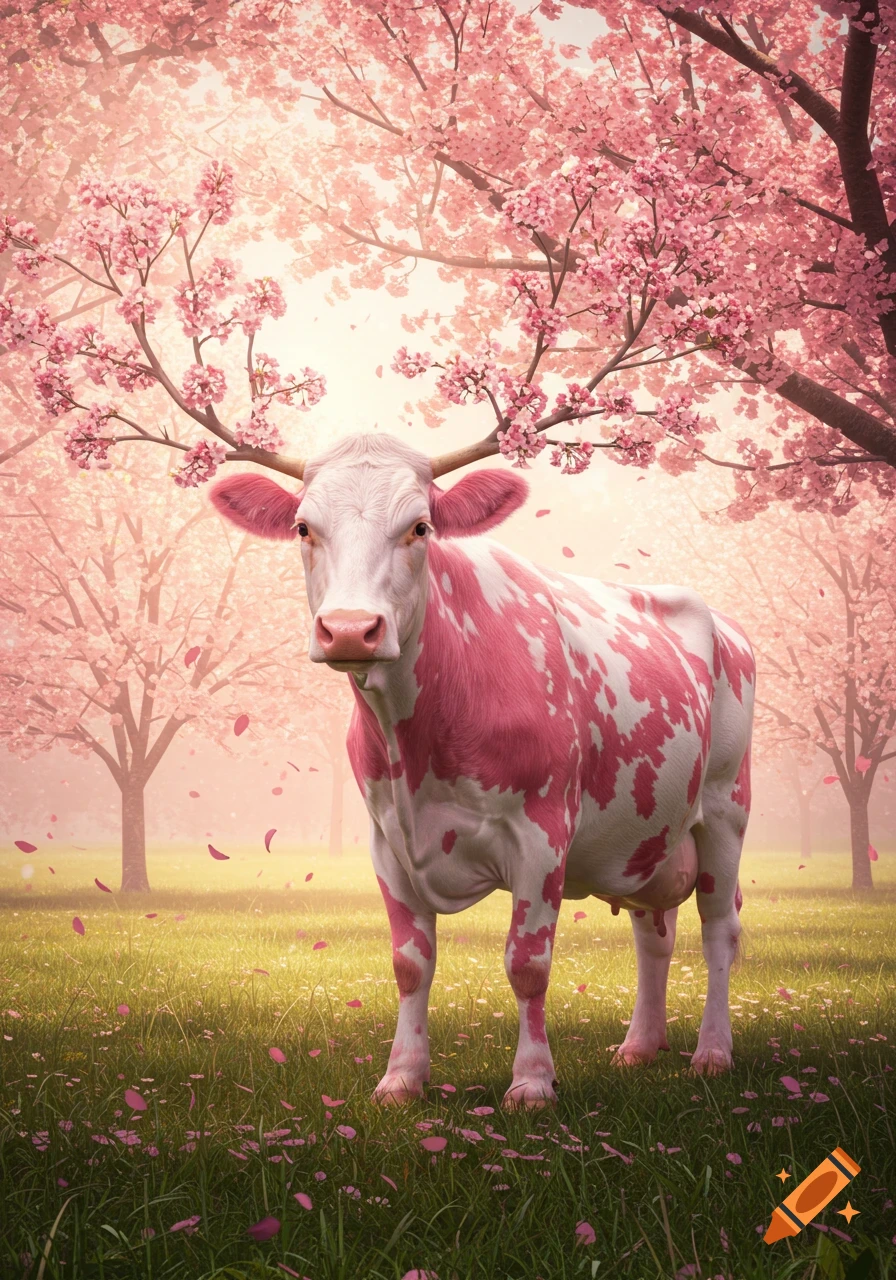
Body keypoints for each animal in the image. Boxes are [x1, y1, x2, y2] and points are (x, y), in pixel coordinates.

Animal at [211, 431, 754, 1110]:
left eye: (420, 527)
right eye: (304, 527)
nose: (350, 631)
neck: (419, 746)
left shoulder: (544, 832)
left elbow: (527, 964)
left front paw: (532, 1082)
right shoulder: (386, 839)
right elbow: (410, 963)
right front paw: (401, 1078)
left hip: (726, 807)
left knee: (719, 928)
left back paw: (713, 1053)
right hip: (650, 830)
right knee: (653, 929)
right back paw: (639, 1046)